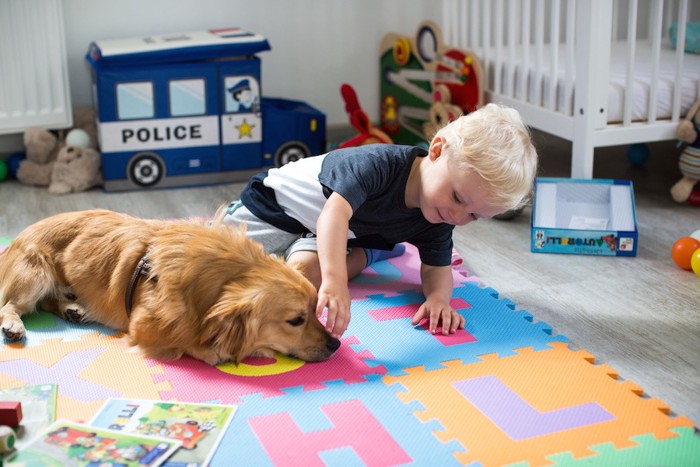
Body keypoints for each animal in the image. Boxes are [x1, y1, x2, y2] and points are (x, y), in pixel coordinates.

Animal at [0, 209, 340, 366]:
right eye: (296, 320)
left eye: (316, 311)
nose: (335, 344)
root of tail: (14, 240)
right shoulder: (142, 325)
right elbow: (186, 343)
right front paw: (217, 348)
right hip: (34, 273)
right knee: (11, 305)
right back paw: (14, 326)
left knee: (48, 302)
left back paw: (73, 308)